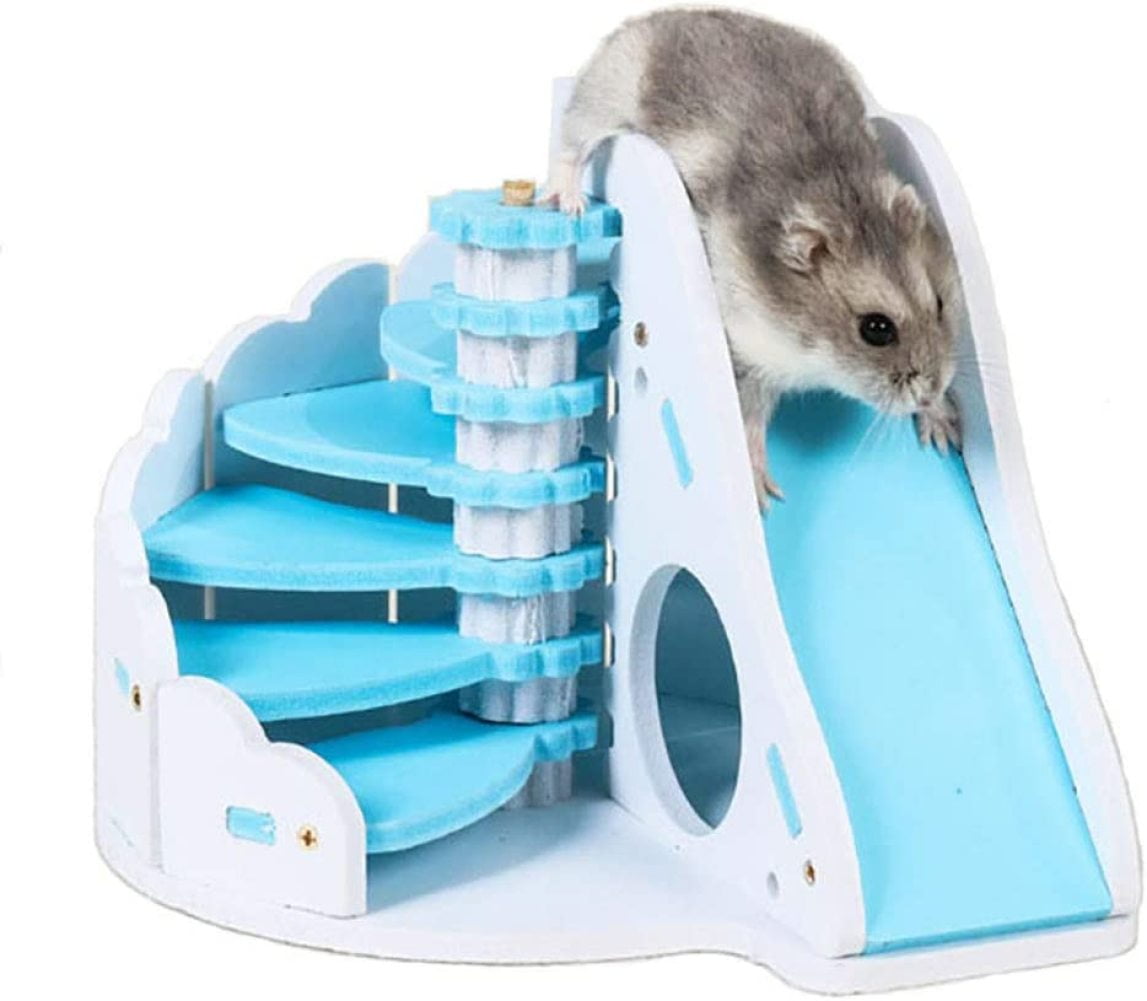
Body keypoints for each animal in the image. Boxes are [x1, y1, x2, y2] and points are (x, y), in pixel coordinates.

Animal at [548, 9, 962, 506]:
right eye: (876, 329)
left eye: (939, 305)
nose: (931, 390)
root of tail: (671, 15)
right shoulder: (747, 349)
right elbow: (750, 416)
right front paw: (764, 494)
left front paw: (945, 432)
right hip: (602, 97)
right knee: (570, 143)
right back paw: (567, 203)